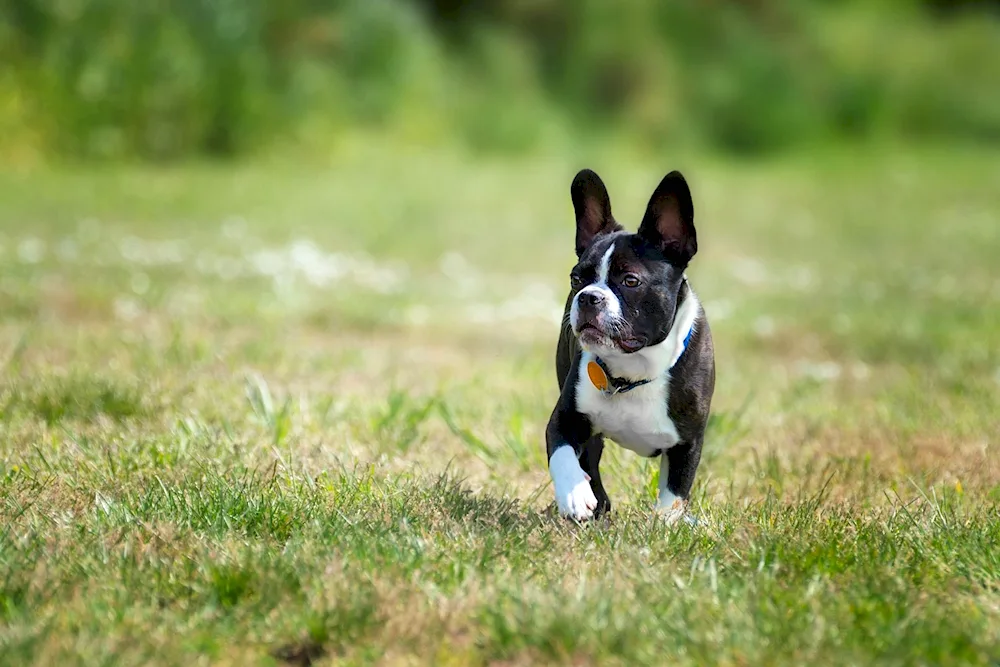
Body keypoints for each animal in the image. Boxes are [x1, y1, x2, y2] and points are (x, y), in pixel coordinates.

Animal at [548, 170, 712, 524]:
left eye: (631, 281)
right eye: (575, 280)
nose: (588, 297)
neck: (634, 370)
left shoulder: (688, 442)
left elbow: (675, 492)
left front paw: (666, 526)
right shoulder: (566, 418)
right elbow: (562, 454)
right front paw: (574, 495)